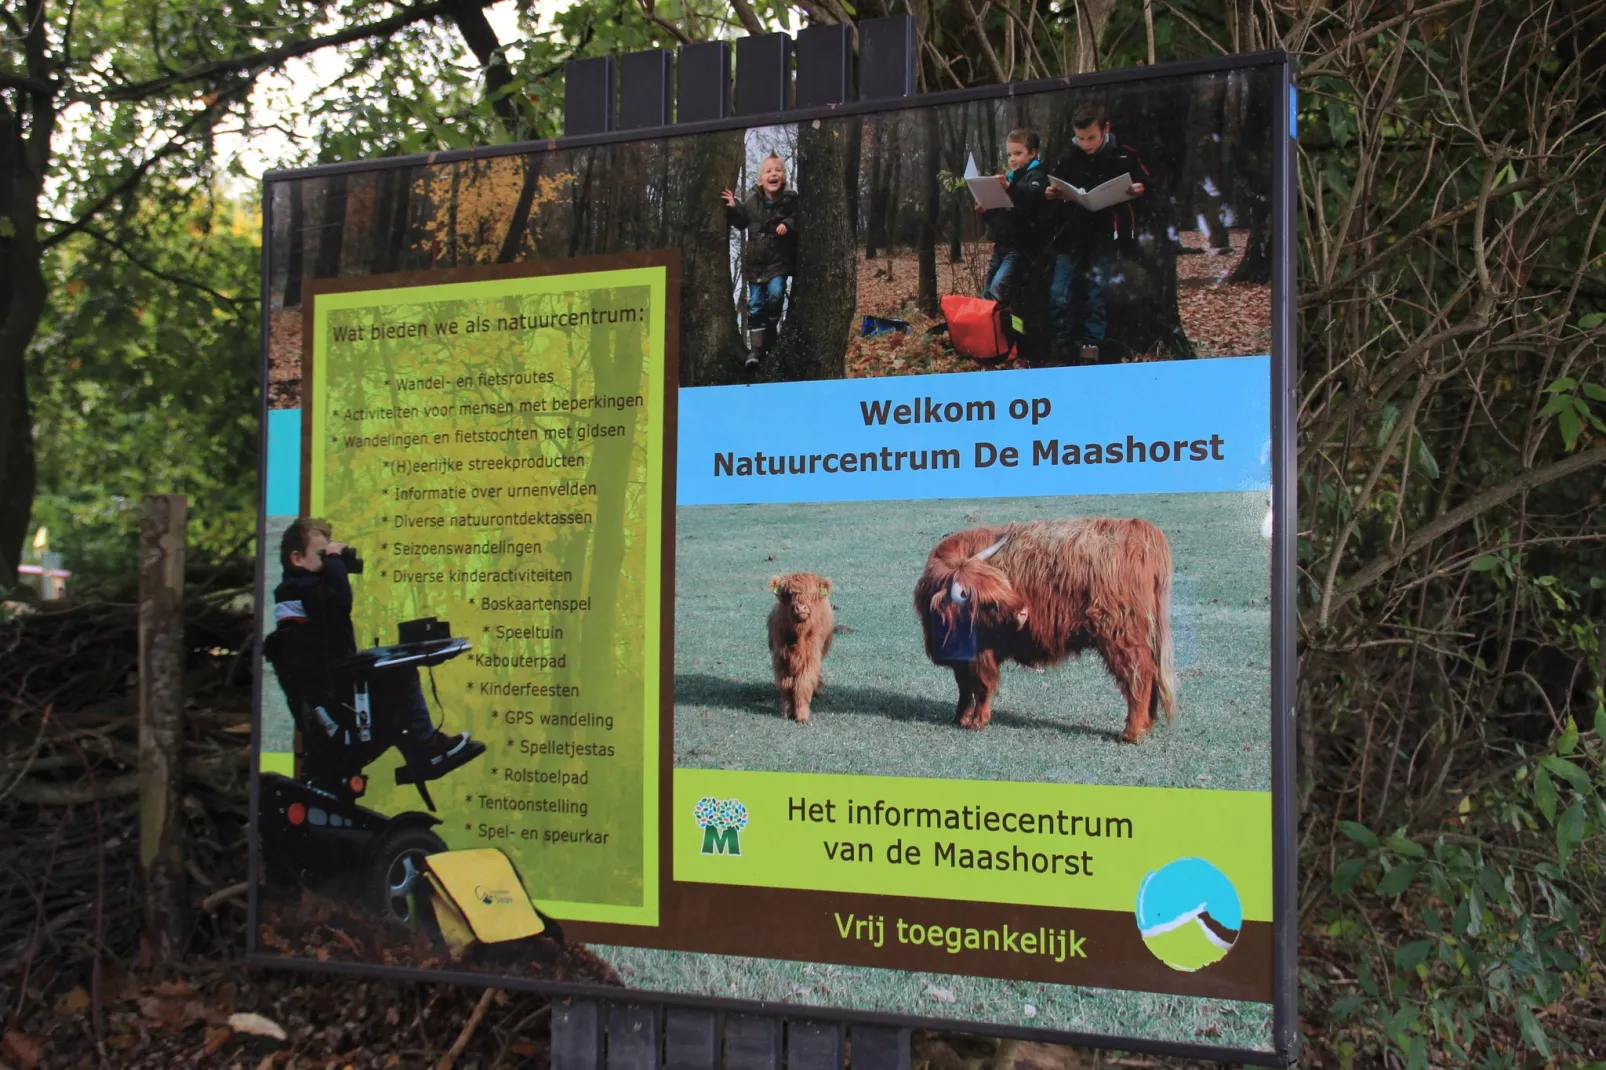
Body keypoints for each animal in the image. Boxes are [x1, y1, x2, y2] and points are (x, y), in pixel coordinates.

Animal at [767, 565, 835, 726]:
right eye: (790, 593)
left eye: (811, 593)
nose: (801, 608)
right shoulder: (781, 659)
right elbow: (786, 685)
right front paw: (787, 713)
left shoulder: (810, 659)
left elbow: (802, 684)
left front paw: (801, 716)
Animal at [918, 517, 1182, 742]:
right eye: (989, 602)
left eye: (1003, 585)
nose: (1024, 612)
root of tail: (1140, 529)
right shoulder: (960, 658)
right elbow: (963, 687)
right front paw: (960, 718)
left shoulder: (981, 653)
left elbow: (982, 686)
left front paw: (977, 722)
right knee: (1151, 673)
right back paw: (1147, 724)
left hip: (1121, 635)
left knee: (1139, 675)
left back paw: (1132, 732)